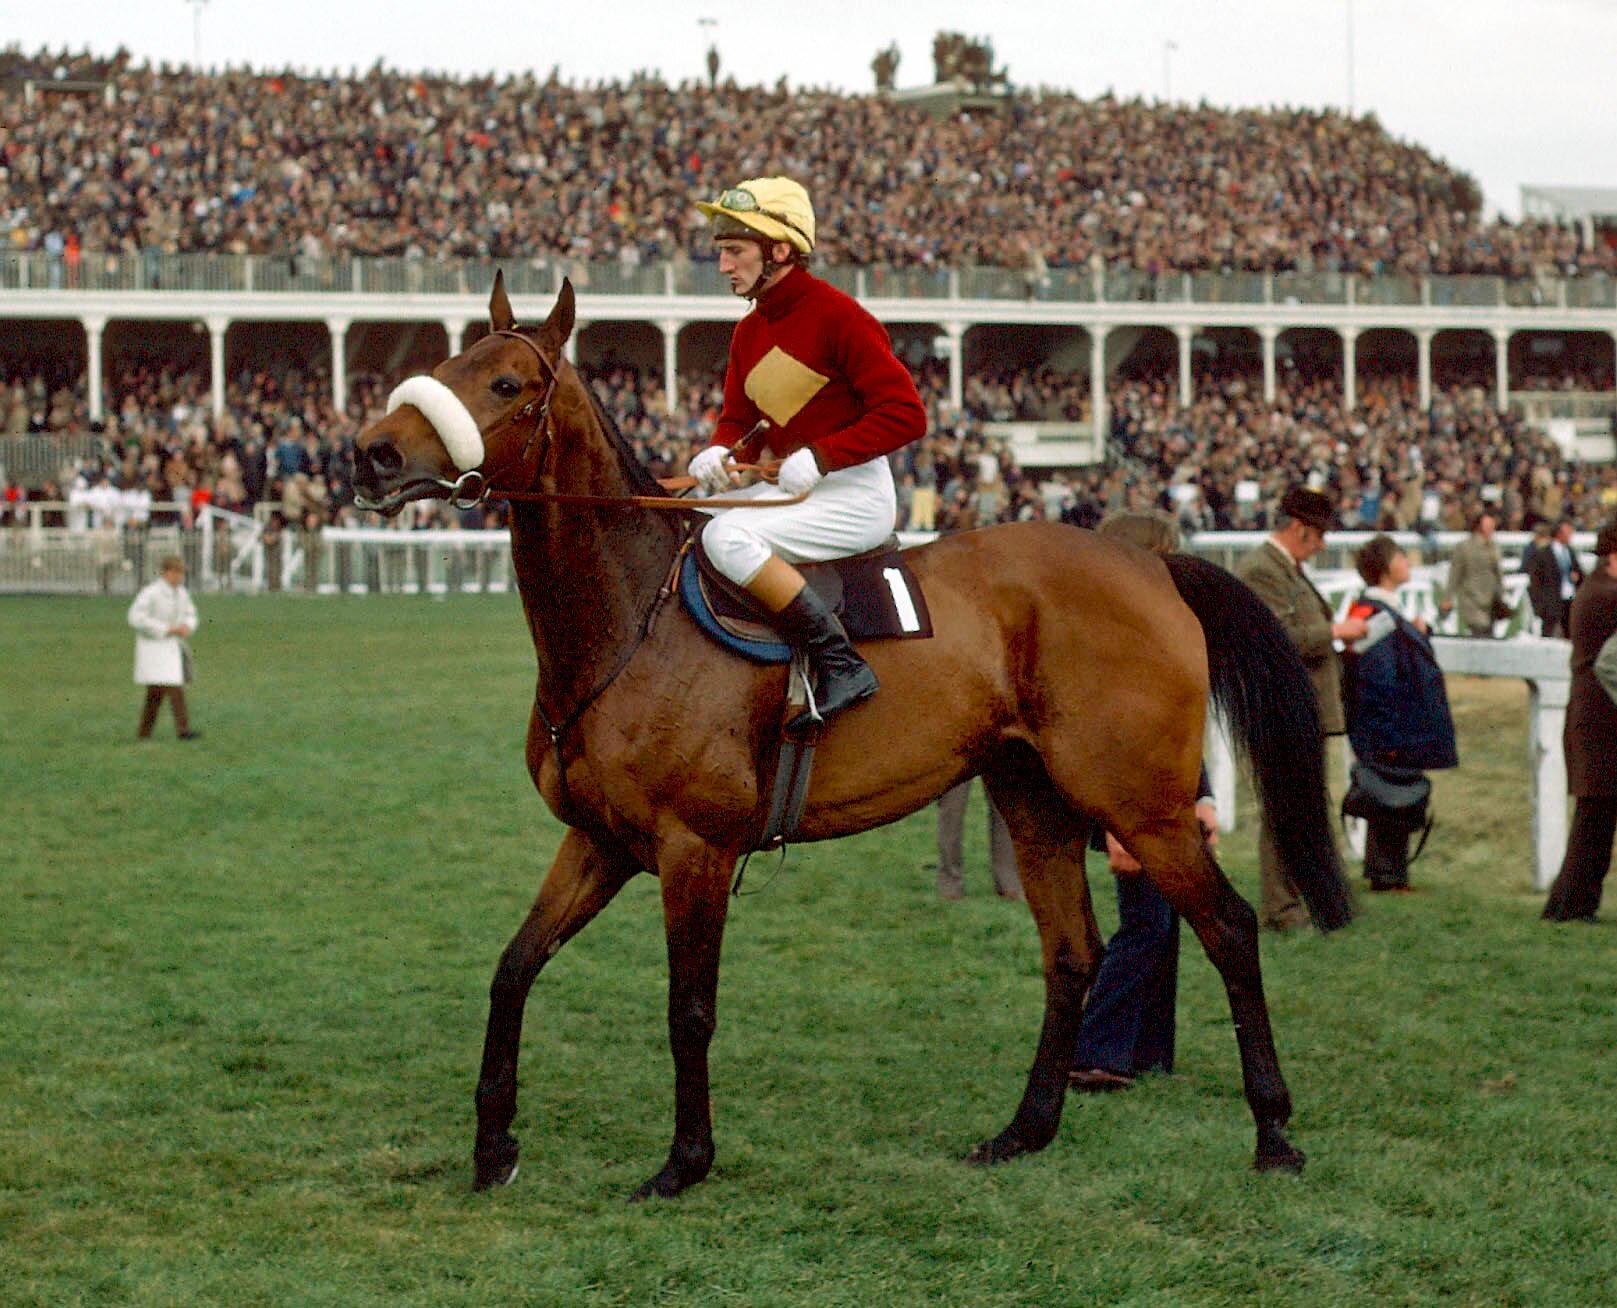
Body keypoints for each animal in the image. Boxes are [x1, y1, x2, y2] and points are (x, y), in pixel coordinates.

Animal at [350, 274, 1351, 1202]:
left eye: (508, 383)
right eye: (445, 363)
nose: (371, 454)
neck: (632, 620)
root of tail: (1151, 562)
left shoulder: (693, 849)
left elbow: (688, 1008)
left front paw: (683, 1163)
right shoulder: (599, 842)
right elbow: (512, 969)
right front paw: (493, 1146)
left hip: (1142, 806)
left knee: (1228, 929)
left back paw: (1273, 1133)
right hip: (1035, 801)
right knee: (1071, 953)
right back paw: (1022, 1131)